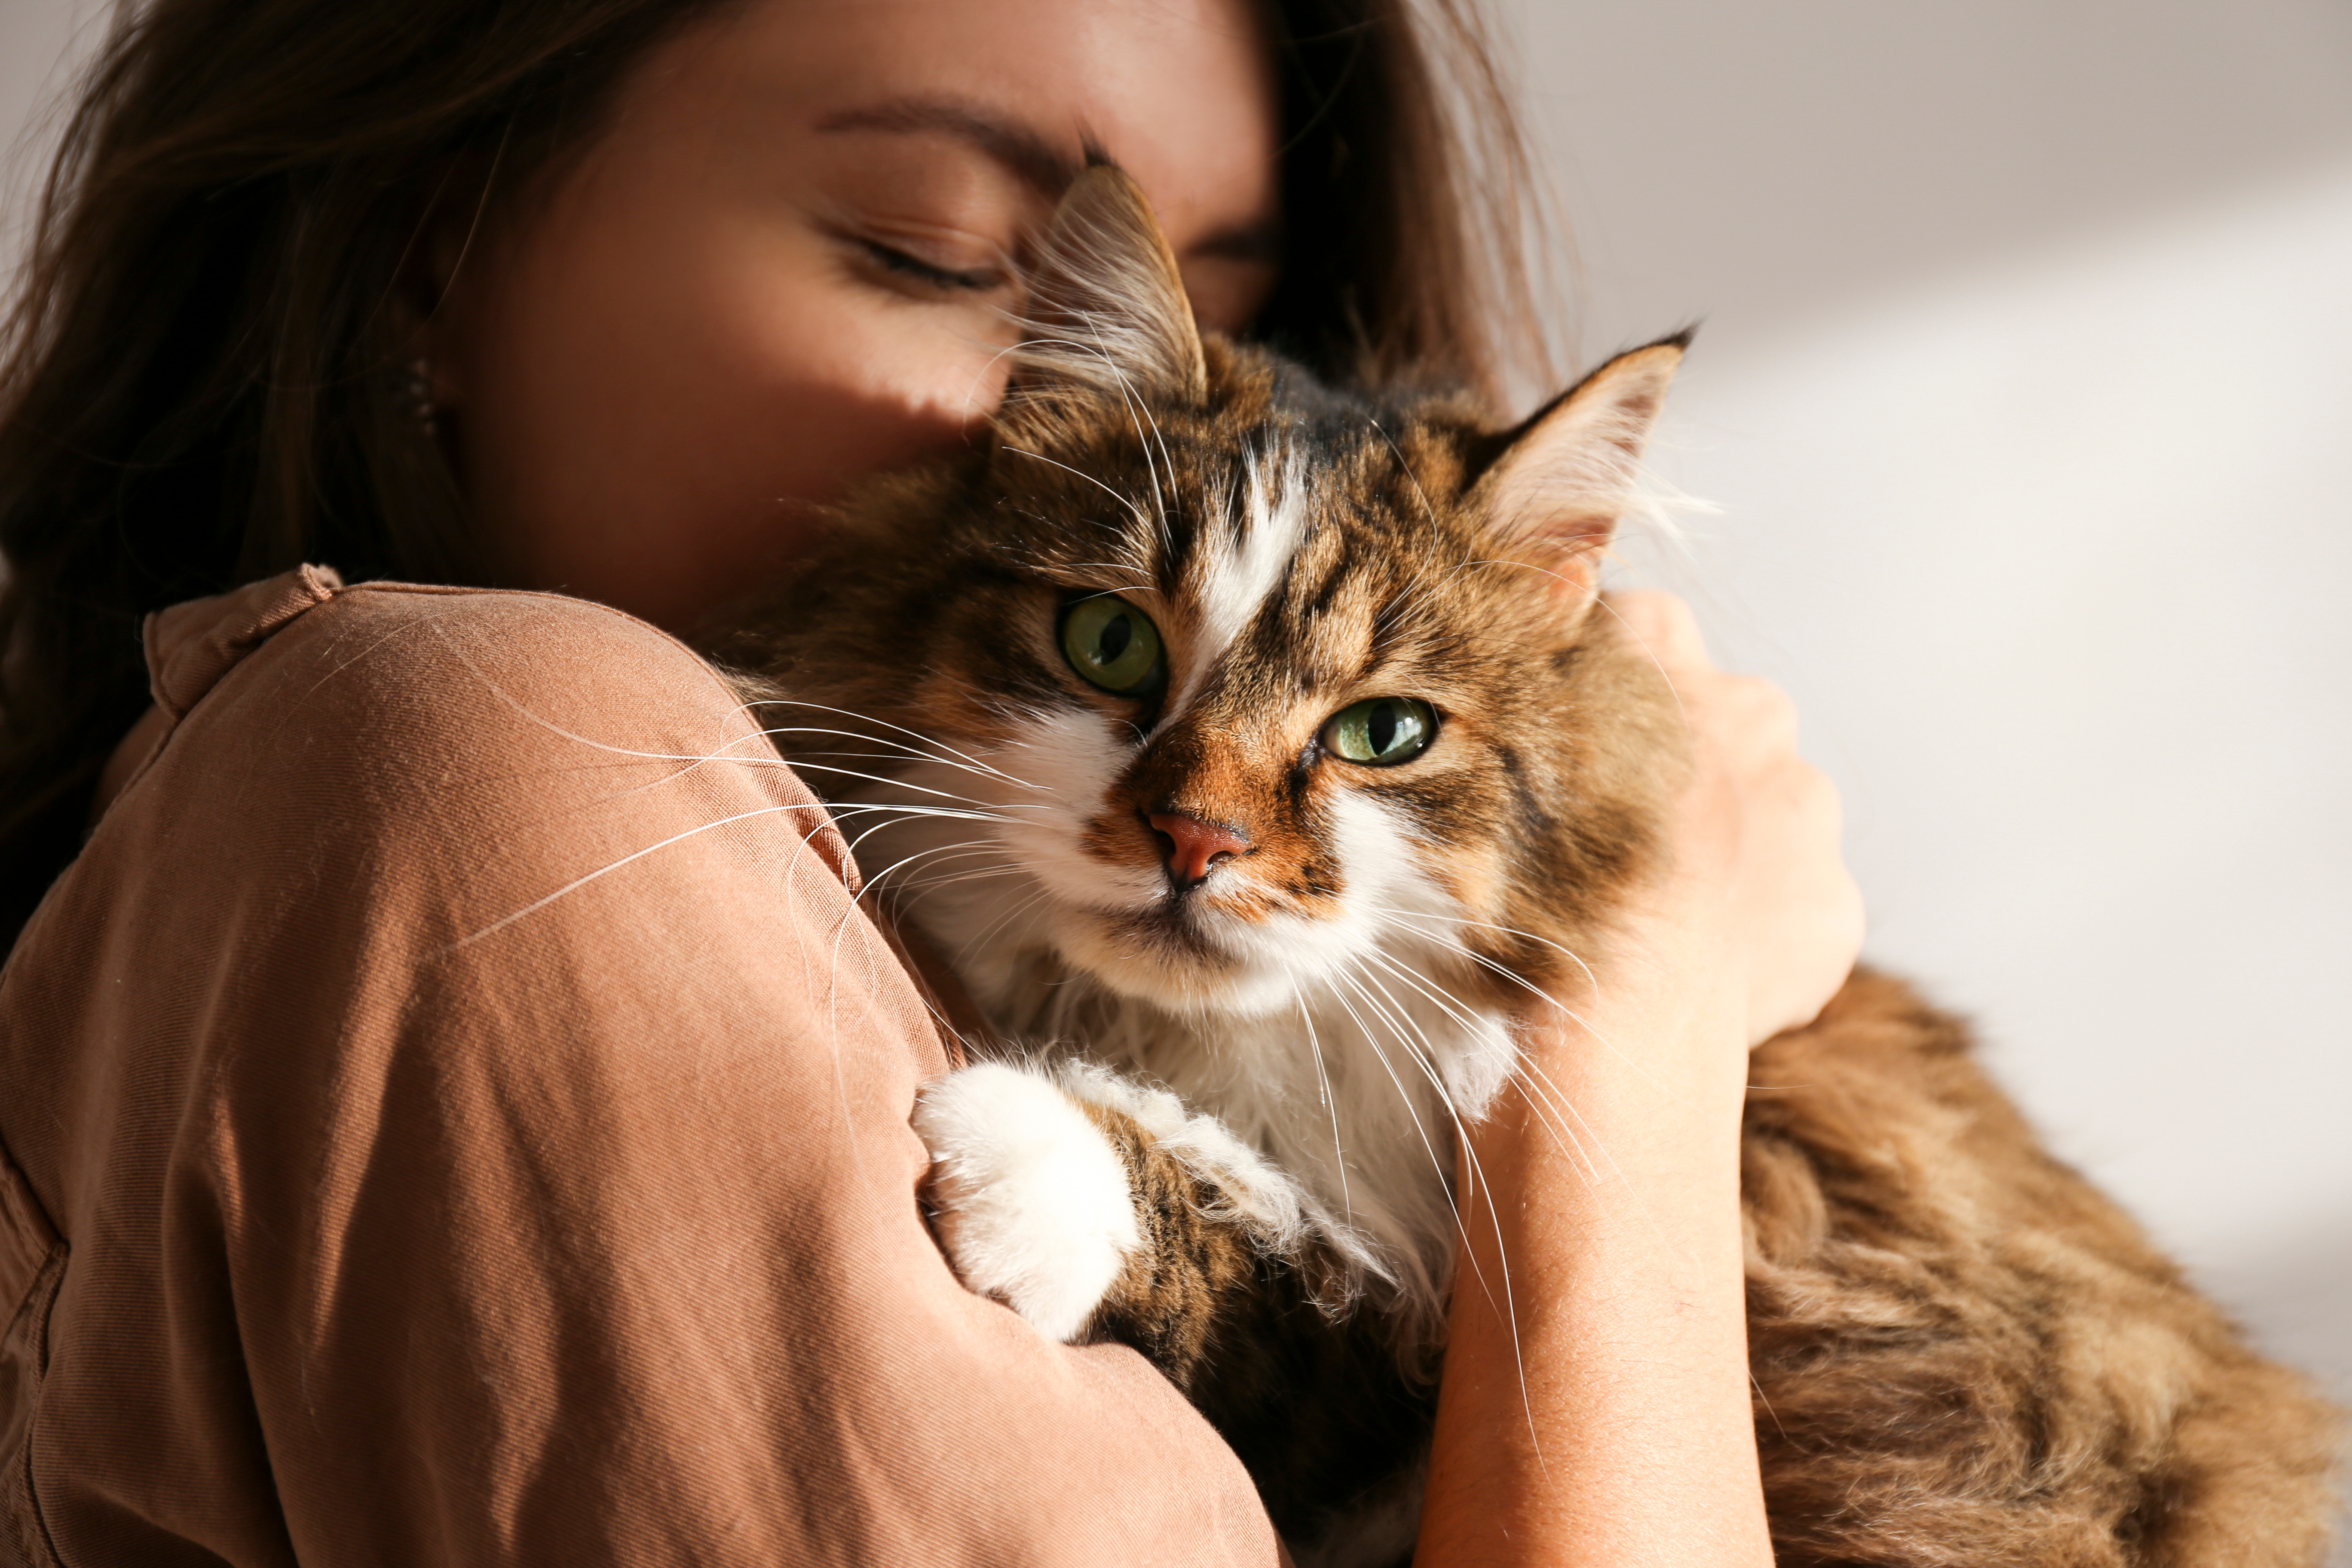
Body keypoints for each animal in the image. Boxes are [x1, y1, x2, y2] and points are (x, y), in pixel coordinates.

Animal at [710, 165, 2333, 1561]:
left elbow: (1261, 1252)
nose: (1196, 839)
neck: (1217, 1054)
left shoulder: (1410, 1348)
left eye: (1383, 732)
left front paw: (1024, 1148)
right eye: (1108, 643)